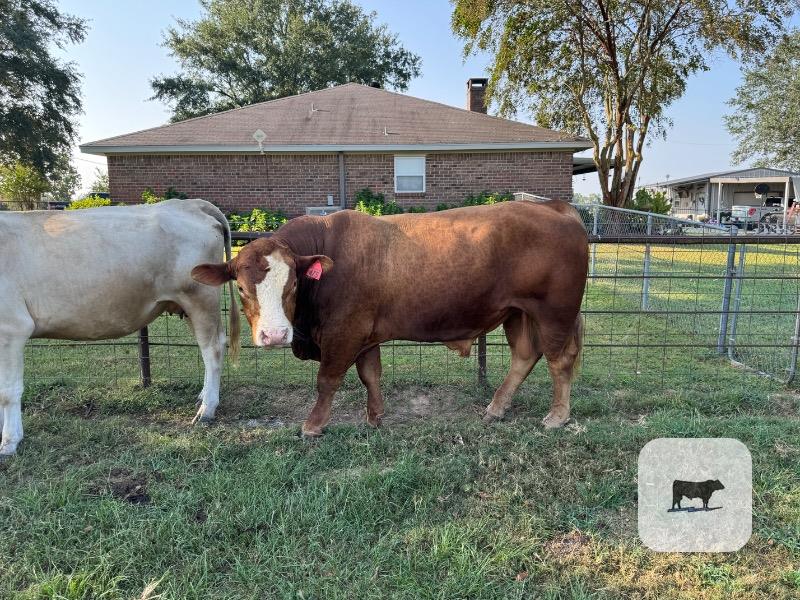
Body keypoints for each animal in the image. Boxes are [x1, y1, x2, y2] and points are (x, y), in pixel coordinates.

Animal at [0, 199, 240, 457]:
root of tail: (189, 204)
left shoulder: (12, 328)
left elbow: (8, 391)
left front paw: (9, 442)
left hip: (200, 298)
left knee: (213, 349)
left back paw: (207, 410)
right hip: (187, 304)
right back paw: (203, 396)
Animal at [193, 200, 588, 437]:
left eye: (293, 284)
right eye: (241, 288)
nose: (274, 335)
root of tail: (555, 207)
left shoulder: (344, 332)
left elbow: (328, 381)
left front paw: (313, 425)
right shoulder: (365, 332)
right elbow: (371, 375)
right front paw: (375, 417)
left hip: (554, 312)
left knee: (559, 360)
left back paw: (557, 416)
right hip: (518, 313)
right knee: (525, 355)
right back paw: (495, 408)